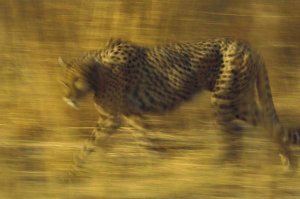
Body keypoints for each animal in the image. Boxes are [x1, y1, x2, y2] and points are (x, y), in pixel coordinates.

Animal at [58, 38, 300, 172]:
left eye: (76, 81)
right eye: (64, 82)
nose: (68, 97)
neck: (98, 72)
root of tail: (248, 46)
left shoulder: (112, 118)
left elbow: (87, 145)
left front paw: (69, 174)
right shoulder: (131, 115)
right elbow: (146, 141)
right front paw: (156, 168)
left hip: (223, 100)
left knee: (235, 135)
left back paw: (224, 168)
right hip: (240, 102)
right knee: (270, 124)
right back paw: (288, 163)